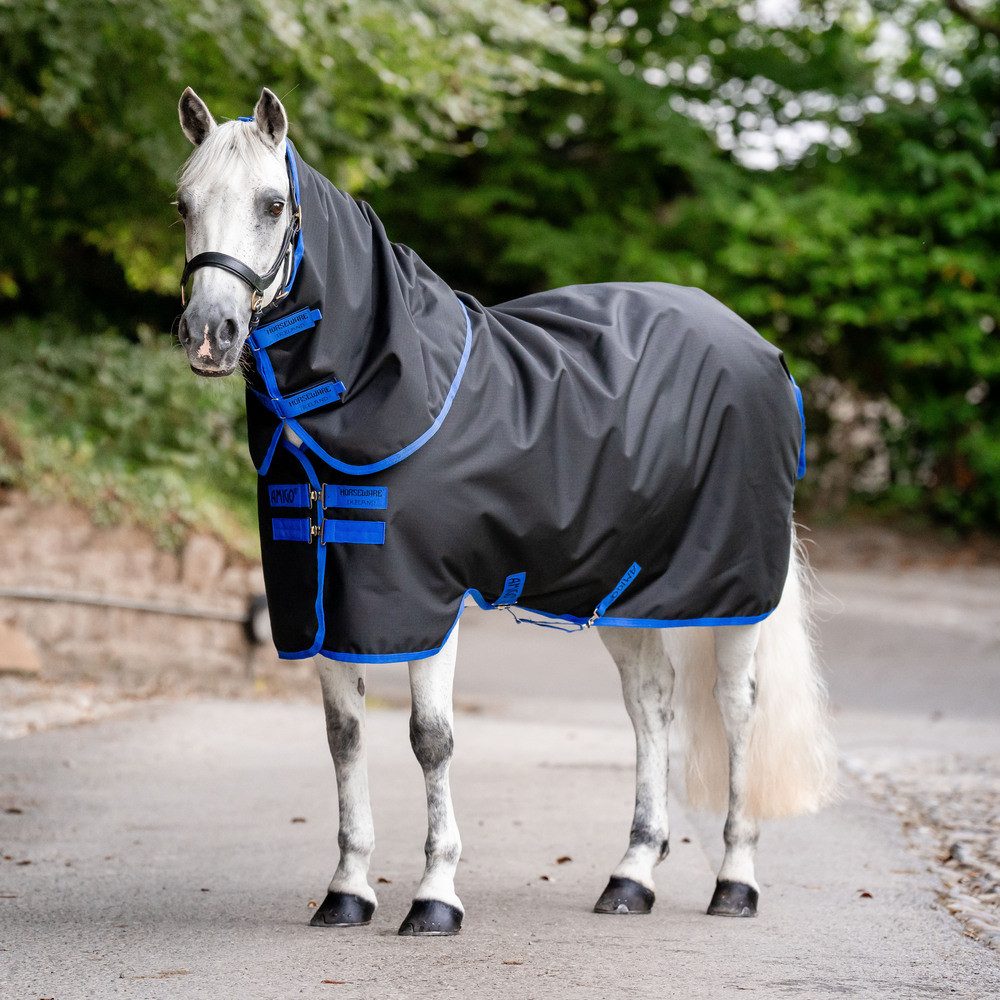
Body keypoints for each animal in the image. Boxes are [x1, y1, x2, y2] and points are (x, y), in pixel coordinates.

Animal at [173, 86, 836, 936]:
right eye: (182, 202)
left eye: (272, 203)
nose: (209, 334)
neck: (381, 386)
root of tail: (762, 351)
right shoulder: (322, 600)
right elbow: (344, 738)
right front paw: (347, 891)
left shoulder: (424, 600)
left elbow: (430, 739)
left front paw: (435, 896)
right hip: (623, 588)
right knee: (650, 705)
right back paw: (631, 876)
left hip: (735, 589)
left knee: (739, 709)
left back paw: (735, 880)